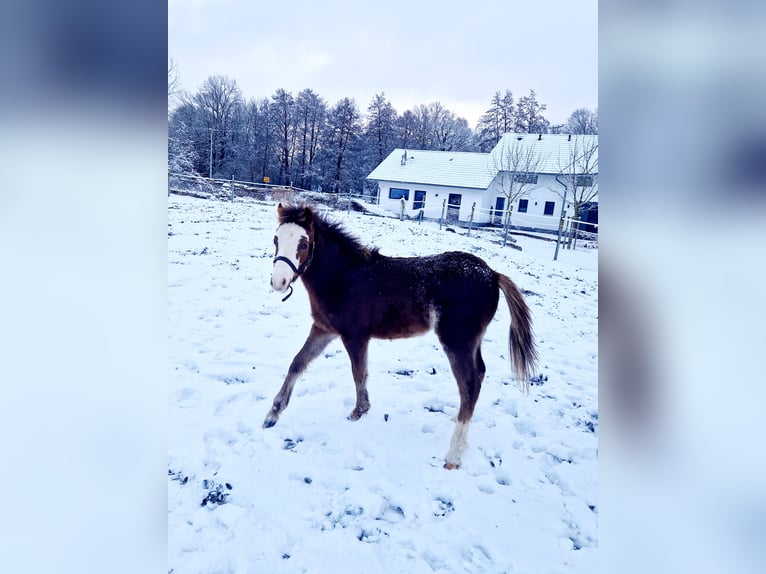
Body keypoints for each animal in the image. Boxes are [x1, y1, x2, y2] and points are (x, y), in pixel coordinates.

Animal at [264, 205, 540, 470]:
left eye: (303, 243)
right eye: (276, 239)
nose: (279, 282)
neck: (342, 277)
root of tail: (493, 274)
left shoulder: (355, 336)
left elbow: (358, 372)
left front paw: (359, 411)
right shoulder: (323, 329)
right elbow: (297, 363)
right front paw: (272, 415)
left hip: (457, 342)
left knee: (469, 383)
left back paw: (453, 455)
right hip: (472, 342)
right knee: (478, 375)